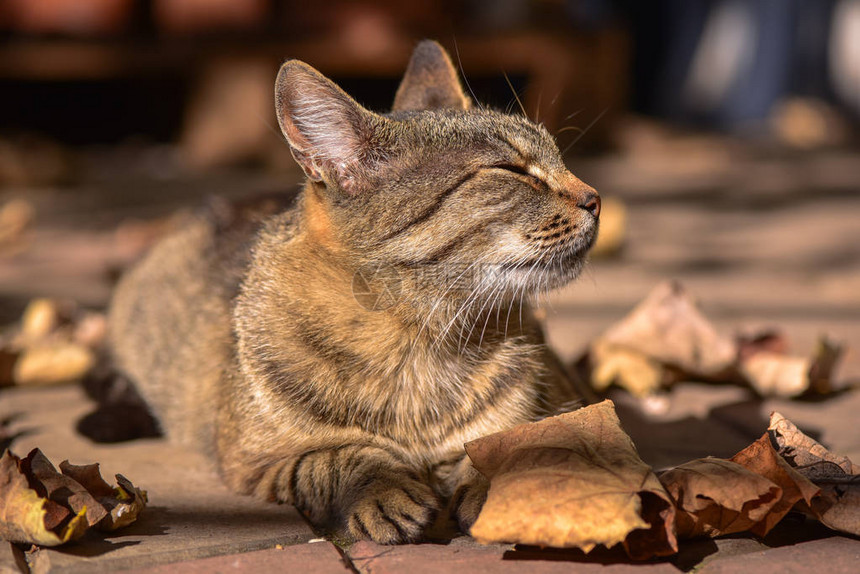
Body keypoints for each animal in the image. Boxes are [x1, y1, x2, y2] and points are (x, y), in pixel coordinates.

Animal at [107, 40, 600, 544]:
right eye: (510, 170)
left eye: (558, 157)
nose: (596, 198)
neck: (418, 338)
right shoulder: (255, 461)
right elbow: (339, 456)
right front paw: (382, 487)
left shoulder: (572, 405)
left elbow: (517, 438)